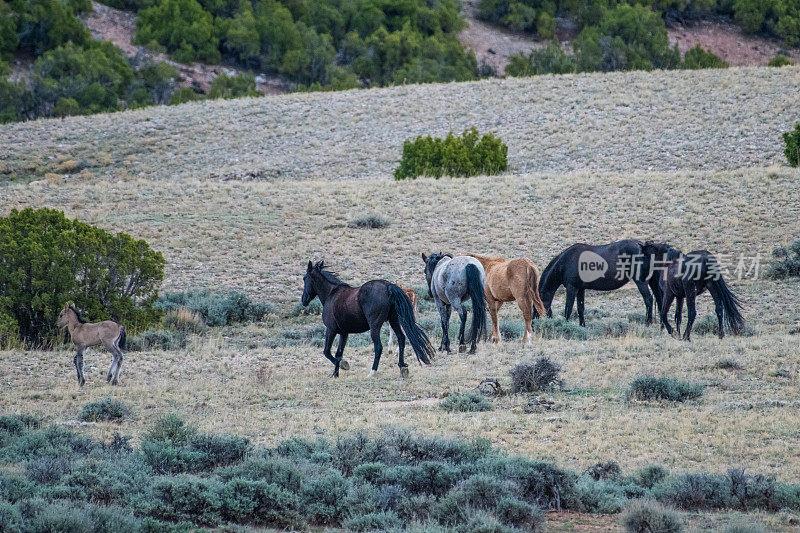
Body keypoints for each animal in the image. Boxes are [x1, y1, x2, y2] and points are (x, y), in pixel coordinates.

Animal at [302, 260, 438, 376]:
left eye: (304, 278)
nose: (304, 300)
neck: (332, 293)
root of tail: (389, 286)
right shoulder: (344, 333)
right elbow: (338, 353)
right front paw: (336, 373)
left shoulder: (331, 330)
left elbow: (327, 352)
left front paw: (342, 366)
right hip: (394, 320)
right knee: (401, 338)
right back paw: (402, 367)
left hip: (375, 326)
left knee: (379, 347)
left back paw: (372, 372)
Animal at [536, 240, 664, 326]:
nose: (534, 323)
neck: (565, 262)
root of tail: (644, 247)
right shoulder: (580, 288)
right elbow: (580, 308)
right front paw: (582, 326)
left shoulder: (572, 288)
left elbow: (568, 308)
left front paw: (565, 325)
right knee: (658, 300)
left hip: (641, 282)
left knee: (648, 300)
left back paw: (648, 323)